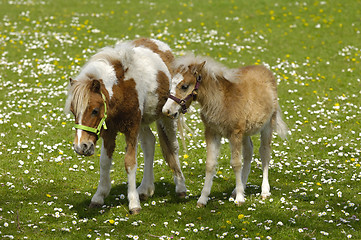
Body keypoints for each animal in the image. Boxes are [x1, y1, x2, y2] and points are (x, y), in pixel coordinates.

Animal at [64, 38, 187, 215]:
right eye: (73, 111)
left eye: (94, 110)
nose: (81, 147)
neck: (121, 89)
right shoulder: (109, 131)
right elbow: (104, 162)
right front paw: (99, 197)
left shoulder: (132, 128)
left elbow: (130, 163)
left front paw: (133, 203)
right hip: (143, 122)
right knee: (149, 143)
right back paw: (145, 189)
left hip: (167, 116)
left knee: (173, 147)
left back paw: (181, 187)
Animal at [162, 54, 286, 206]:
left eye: (184, 86)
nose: (166, 111)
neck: (220, 101)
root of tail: (265, 69)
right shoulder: (212, 132)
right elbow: (210, 164)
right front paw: (203, 199)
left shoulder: (235, 134)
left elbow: (236, 163)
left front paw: (240, 198)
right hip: (245, 132)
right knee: (248, 152)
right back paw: (237, 189)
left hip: (268, 125)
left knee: (264, 152)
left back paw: (264, 191)